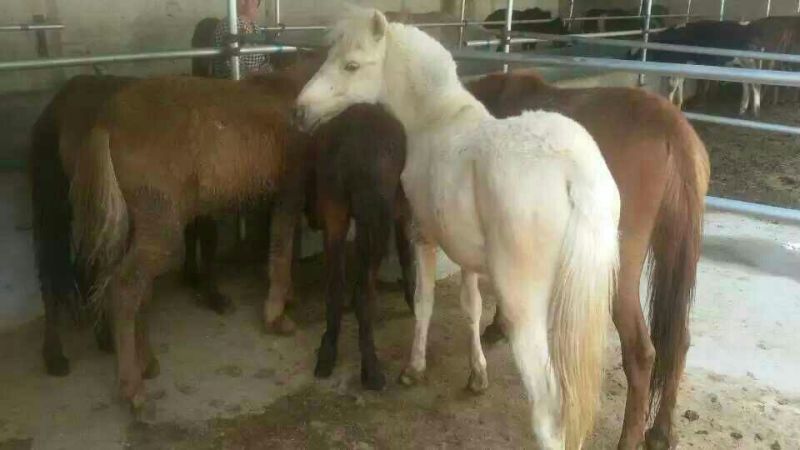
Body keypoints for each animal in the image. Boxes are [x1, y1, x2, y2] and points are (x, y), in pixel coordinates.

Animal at [305, 103, 414, 390]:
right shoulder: (402, 214)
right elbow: (408, 260)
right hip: (371, 221)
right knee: (363, 292)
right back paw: (371, 369)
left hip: (336, 213)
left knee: (335, 287)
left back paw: (327, 354)